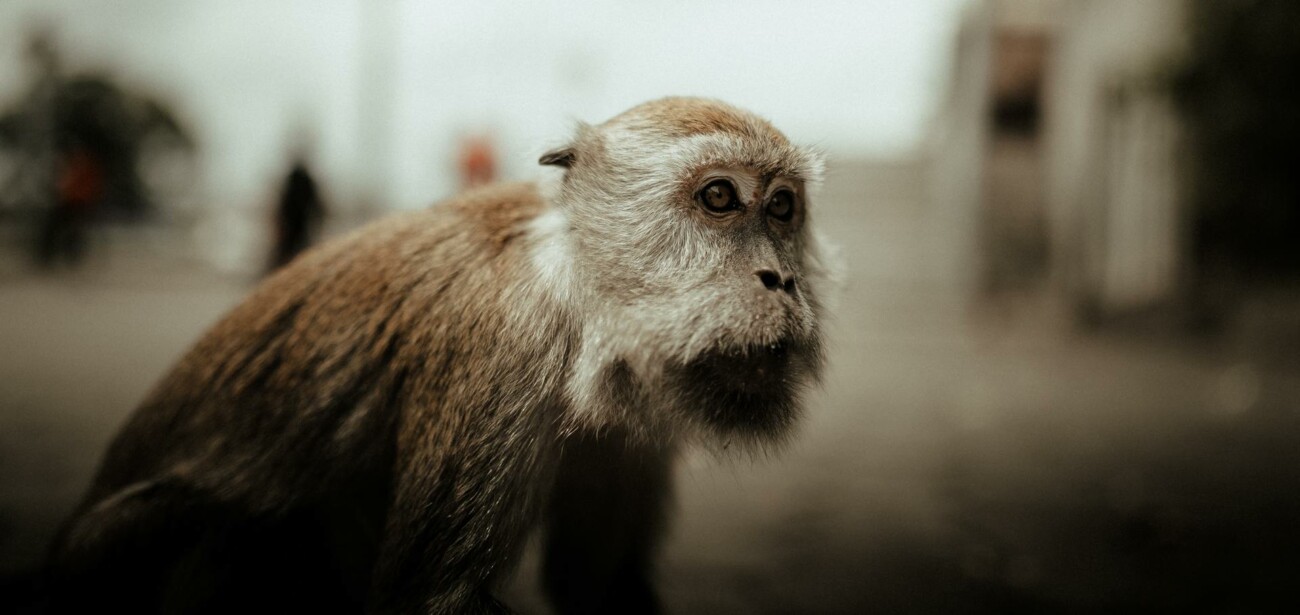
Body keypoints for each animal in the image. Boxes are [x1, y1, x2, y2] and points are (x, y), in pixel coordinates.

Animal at [45, 97, 830, 614]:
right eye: (720, 196)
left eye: (782, 208)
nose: (781, 278)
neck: (573, 286)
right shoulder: (504, 342)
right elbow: (436, 599)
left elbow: (598, 588)